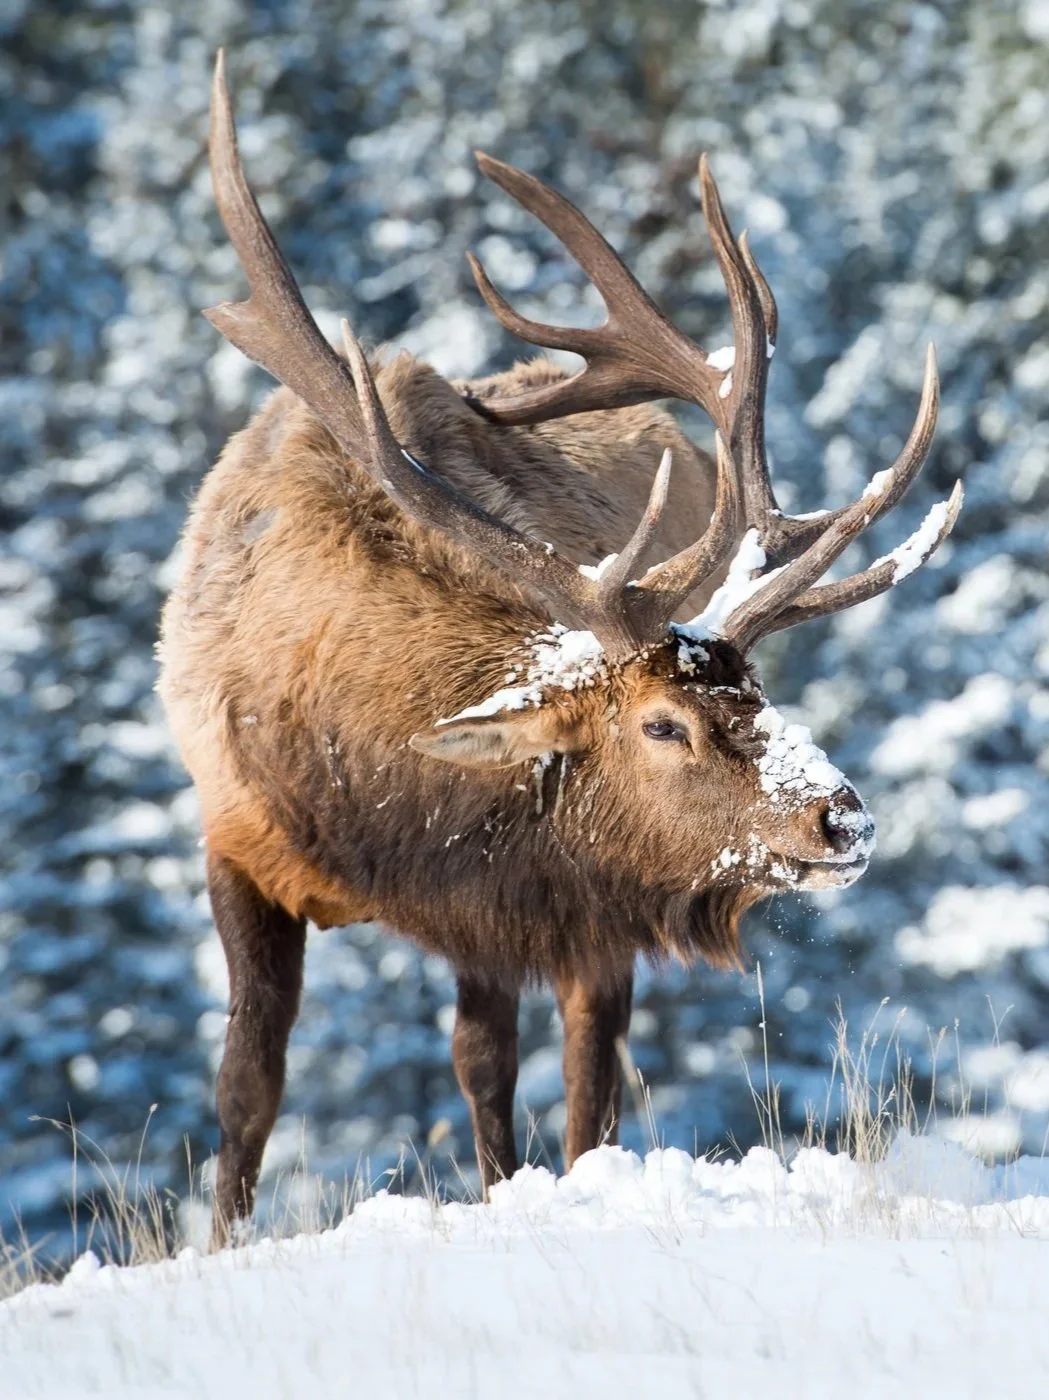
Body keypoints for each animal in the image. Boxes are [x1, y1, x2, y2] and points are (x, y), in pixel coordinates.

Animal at [158, 53, 962, 1246]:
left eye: (758, 687)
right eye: (663, 724)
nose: (842, 819)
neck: (368, 792)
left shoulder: (510, 890)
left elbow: (492, 1060)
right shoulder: (237, 834)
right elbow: (248, 1081)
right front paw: (219, 1241)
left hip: (605, 886)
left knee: (591, 1059)